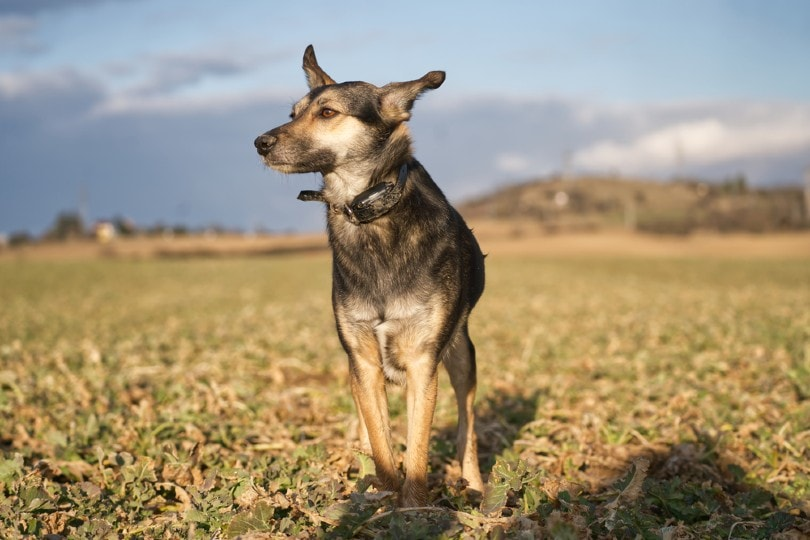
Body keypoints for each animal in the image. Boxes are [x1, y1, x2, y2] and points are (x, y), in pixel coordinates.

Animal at [252, 45, 482, 506]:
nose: (260, 143)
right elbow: (379, 441)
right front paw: (381, 498)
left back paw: (478, 489)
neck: (368, 214)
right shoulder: (361, 360)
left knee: (467, 428)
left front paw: (413, 508)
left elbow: (418, 448)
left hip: (462, 354)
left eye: (327, 112)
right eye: (292, 113)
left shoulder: (423, 361)